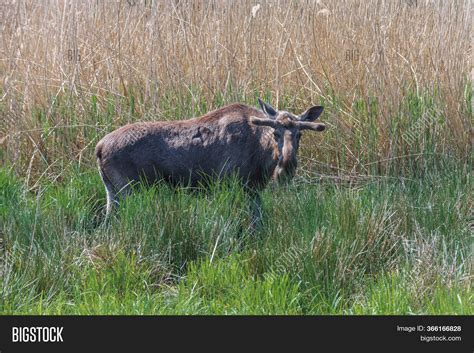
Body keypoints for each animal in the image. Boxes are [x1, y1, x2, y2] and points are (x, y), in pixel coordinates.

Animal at [96, 97, 326, 227]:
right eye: (275, 132)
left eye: (299, 135)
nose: (287, 166)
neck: (262, 155)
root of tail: (99, 147)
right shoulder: (235, 184)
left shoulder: (253, 190)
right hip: (129, 189)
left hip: (112, 192)